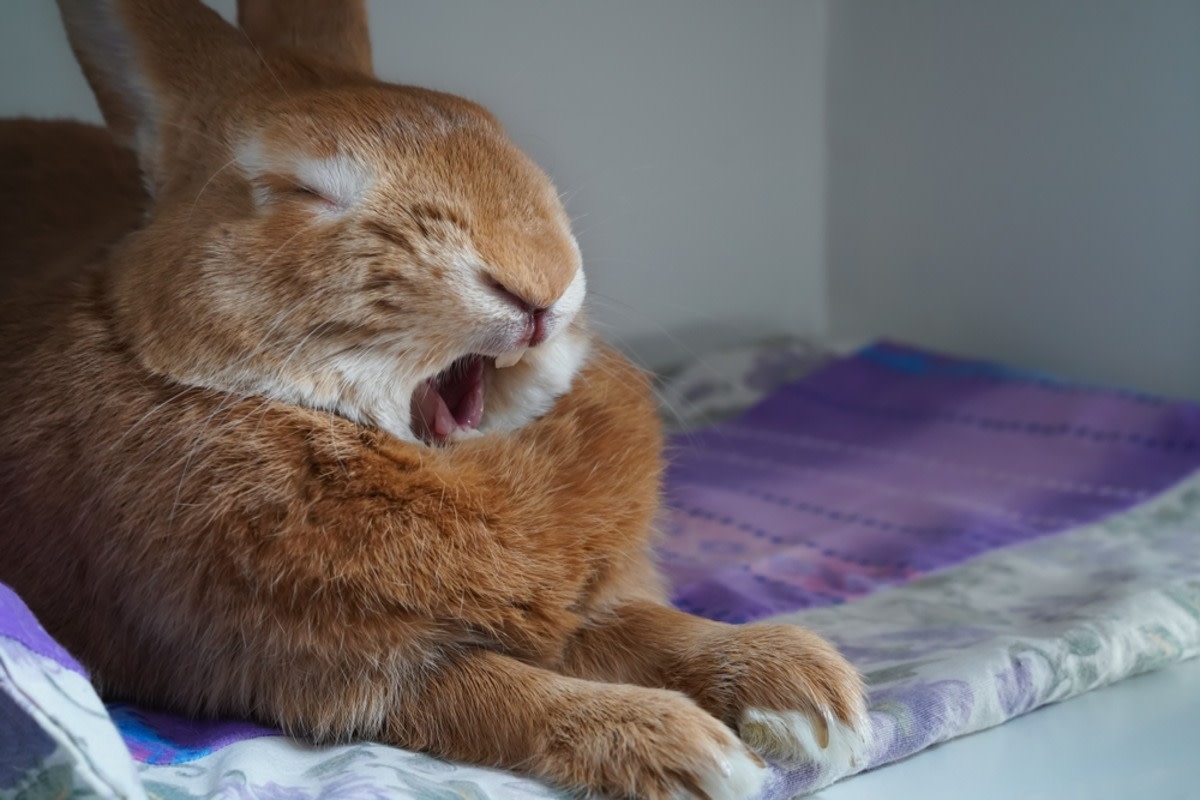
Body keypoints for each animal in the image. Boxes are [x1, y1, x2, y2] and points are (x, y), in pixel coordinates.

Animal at [0, 2, 868, 798]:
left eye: (491, 129)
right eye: (303, 189)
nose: (543, 281)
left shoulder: (584, 605)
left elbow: (650, 626)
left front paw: (808, 696)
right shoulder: (331, 673)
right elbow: (499, 696)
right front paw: (691, 752)